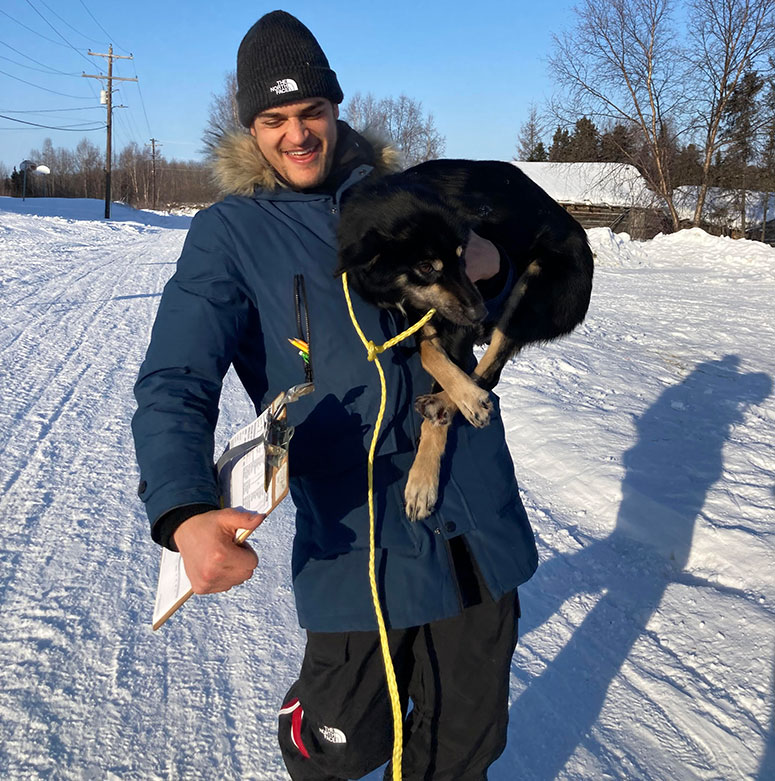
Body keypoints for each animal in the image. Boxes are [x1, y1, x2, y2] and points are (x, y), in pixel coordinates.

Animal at [336, 158, 596, 516]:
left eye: (464, 256)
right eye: (426, 267)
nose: (480, 314)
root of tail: (587, 251)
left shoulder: (457, 326)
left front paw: (423, 481)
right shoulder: (422, 317)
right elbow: (430, 355)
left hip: (530, 289)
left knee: (489, 372)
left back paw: (448, 403)